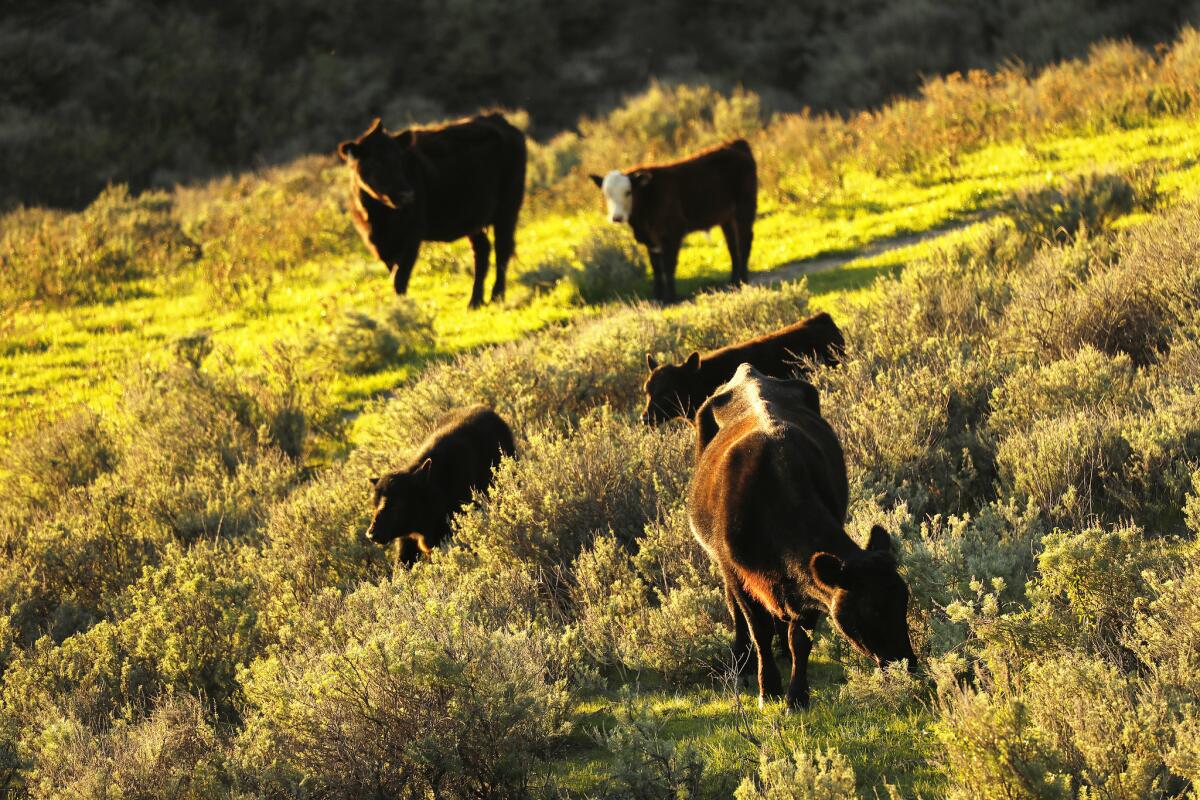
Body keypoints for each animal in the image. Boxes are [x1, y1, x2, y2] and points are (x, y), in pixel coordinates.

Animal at [338, 113, 525, 309]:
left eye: (401, 159)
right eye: (375, 162)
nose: (407, 194)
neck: (378, 218)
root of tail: (499, 120)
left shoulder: (412, 237)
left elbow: (399, 278)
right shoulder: (382, 245)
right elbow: (394, 275)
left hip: (508, 209)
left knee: (502, 249)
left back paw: (497, 296)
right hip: (474, 219)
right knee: (482, 251)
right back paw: (475, 301)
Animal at [592, 137, 758, 303]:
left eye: (628, 192)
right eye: (606, 194)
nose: (617, 217)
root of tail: (735, 144)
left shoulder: (671, 233)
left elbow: (668, 265)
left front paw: (670, 297)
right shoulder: (651, 240)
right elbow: (656, 268)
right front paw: (658, 296)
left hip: (745, 208)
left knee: (744, 241)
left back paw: (743, 280)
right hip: (727, 217)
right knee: (732, 245)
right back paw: (733, 282)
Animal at [686, 367, 916, 710]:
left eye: (903, 601)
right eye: (872, 611)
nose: (909, 665)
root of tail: (747, 371)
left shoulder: (808, 583)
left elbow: (800, 640)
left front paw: (797, 696)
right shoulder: (738, 572)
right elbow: (758, 628)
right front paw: (768, 689)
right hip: (721, 563)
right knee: (734, 608)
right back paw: (741, 663)